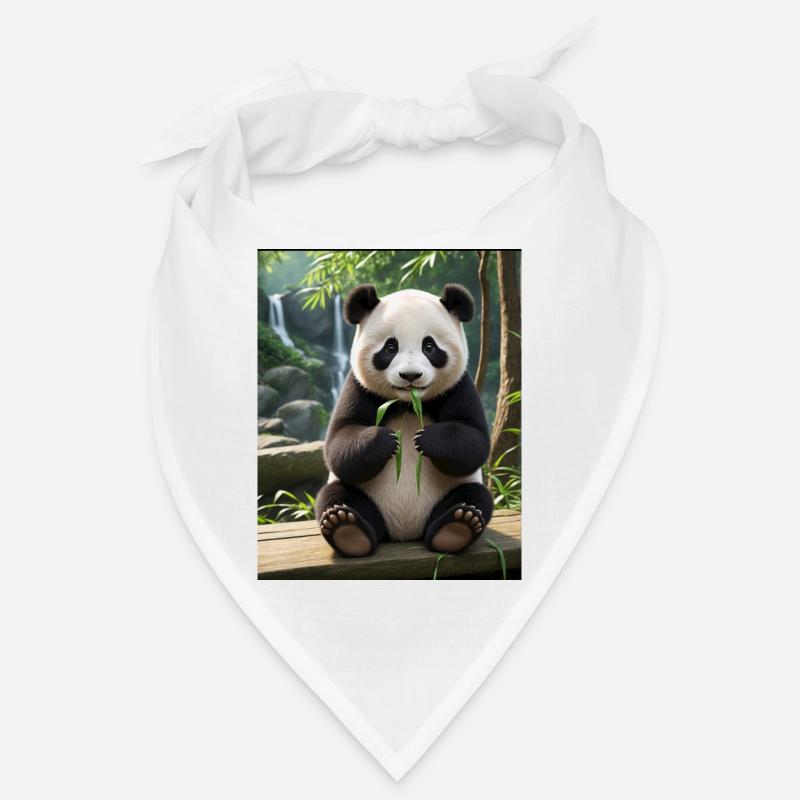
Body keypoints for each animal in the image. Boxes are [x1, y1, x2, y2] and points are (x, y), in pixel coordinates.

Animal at [315, 282, 494, 557]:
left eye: (429, 347)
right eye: (390, 348)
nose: (410, 375)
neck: (408, 404)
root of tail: (404, 533)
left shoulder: (459, 386)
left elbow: (474, 441)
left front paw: (427, 439)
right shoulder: (357, 387)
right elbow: (339, 443)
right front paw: (387, 440)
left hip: (452, 492)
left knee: (476, 496)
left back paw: (456, 527)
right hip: (364, 497)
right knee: (336, 494)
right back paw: (347, 530)